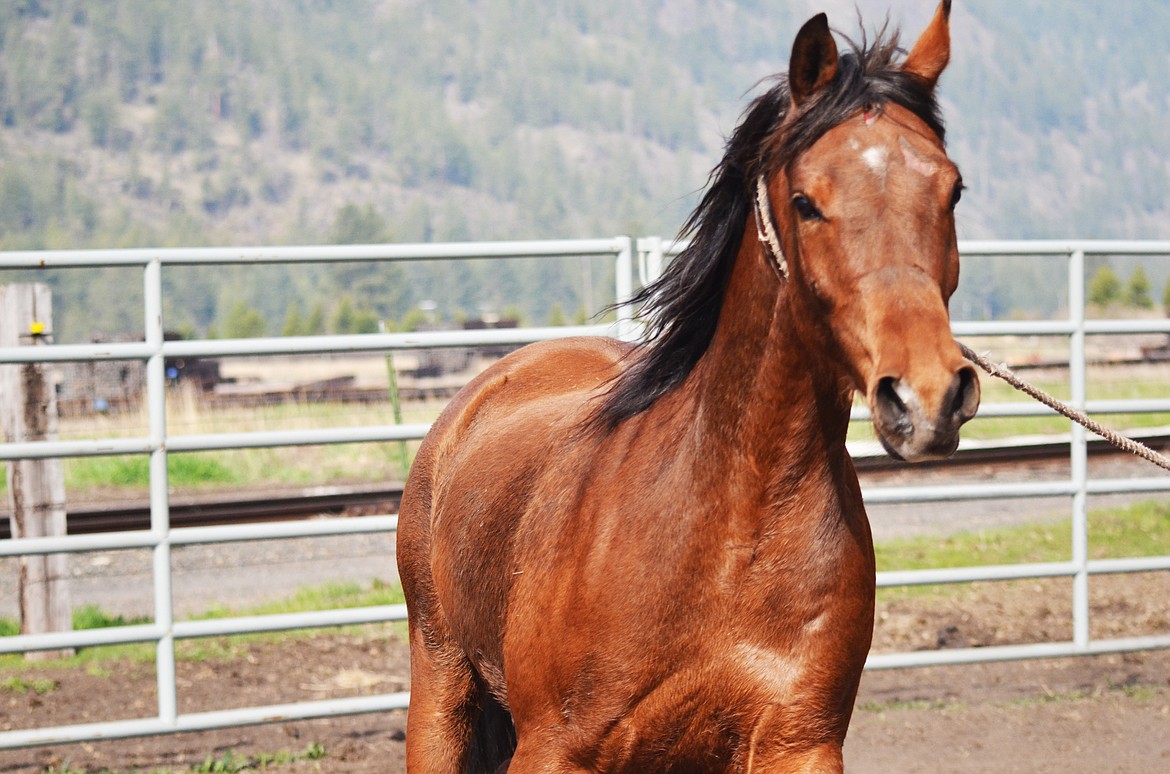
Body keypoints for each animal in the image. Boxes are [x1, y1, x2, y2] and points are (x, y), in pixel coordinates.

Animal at [397, 3, 973, 771]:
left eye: (952, 189)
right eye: (806, 202)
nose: (927, 397)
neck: (729, 538)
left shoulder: (800, 743)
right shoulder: (553, 750)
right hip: (441, 689)